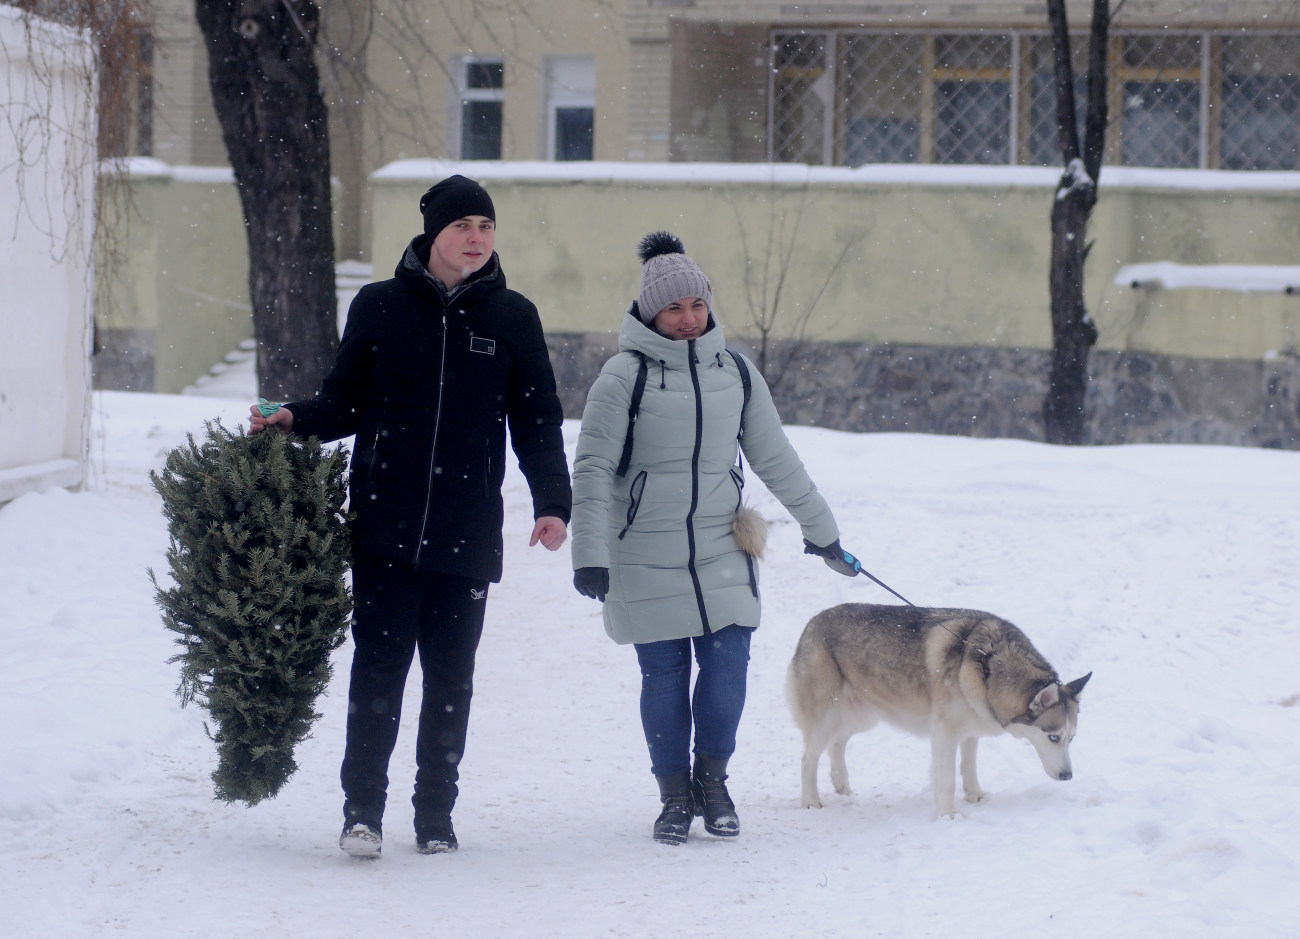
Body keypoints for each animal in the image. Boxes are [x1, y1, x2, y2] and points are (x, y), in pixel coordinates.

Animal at [785, 603, 1092, 816]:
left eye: (1072, 738)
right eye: (1053, 737)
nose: (1068, 776)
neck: (990, 665)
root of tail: (811, 622)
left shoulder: (971, 728)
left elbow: (968, 766)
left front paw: (975, 795)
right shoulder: (945, 734)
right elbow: (946, 779)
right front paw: (948, 814)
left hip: (862, 715)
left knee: (838, 743)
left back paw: (841, 785)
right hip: (828, 716)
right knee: (808, 758)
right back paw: (811, 800)